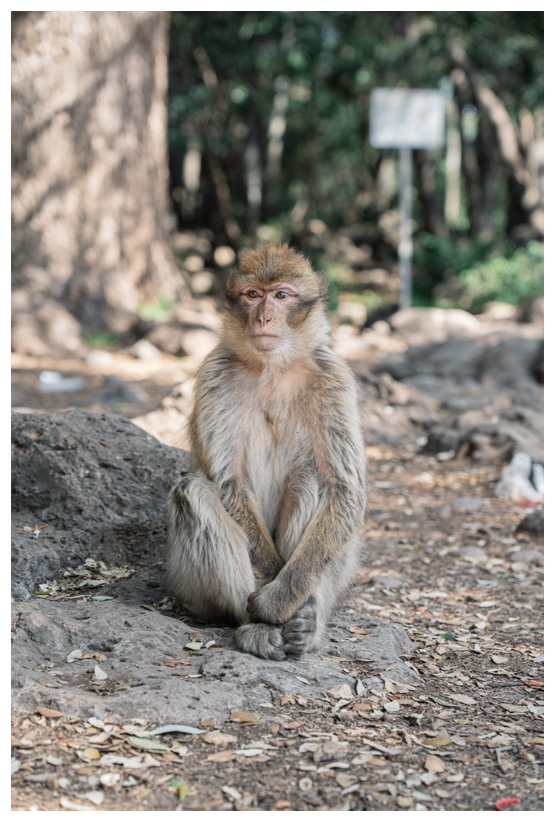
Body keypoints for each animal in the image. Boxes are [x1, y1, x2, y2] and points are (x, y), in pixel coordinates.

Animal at [167, 243, 367, 661]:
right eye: (253, 294)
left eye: (282, 295)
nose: (264, 316)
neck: (274, 367)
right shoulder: (215, 374)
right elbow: (230, 483)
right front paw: (268, 603)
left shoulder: (333, 375)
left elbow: (344, 489)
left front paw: (279, 600)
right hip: (192, 591)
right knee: (192, 493)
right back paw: (256, 627)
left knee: (313, 479)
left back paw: (306, 622)